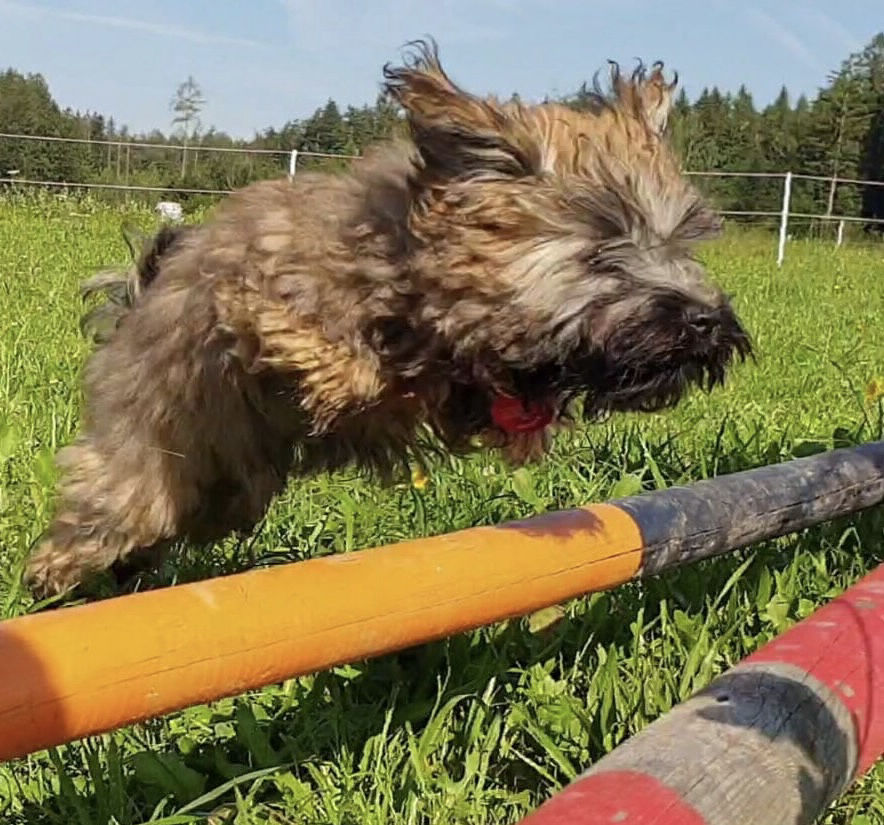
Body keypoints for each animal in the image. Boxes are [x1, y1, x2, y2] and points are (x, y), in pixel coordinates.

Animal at [22, 40, 752, 600]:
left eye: (681, 242)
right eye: (603, 251)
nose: (705, 320)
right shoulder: (272, 289)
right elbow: (310, 340)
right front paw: (334, 369)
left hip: (222, 486)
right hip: (151, 450)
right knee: (112, 503)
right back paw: (51, 575)